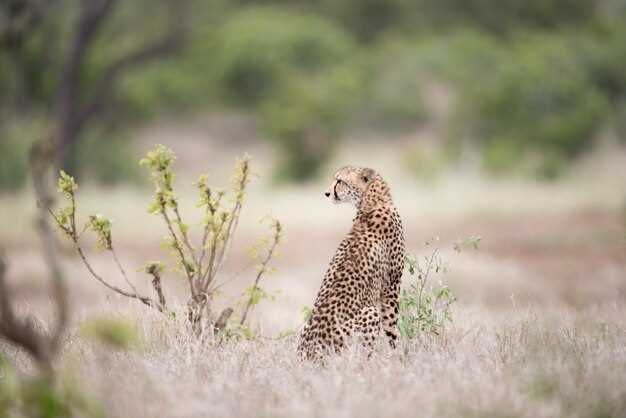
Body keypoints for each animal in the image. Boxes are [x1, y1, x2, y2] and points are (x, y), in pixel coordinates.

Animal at [296, 166, 404, 360]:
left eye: (340, 181)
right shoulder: (392, 284)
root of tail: (308, 353)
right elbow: (391, 325)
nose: (326, 193)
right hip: (369, 314)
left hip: (303, 328)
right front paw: (399, 352)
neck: (372, 201)